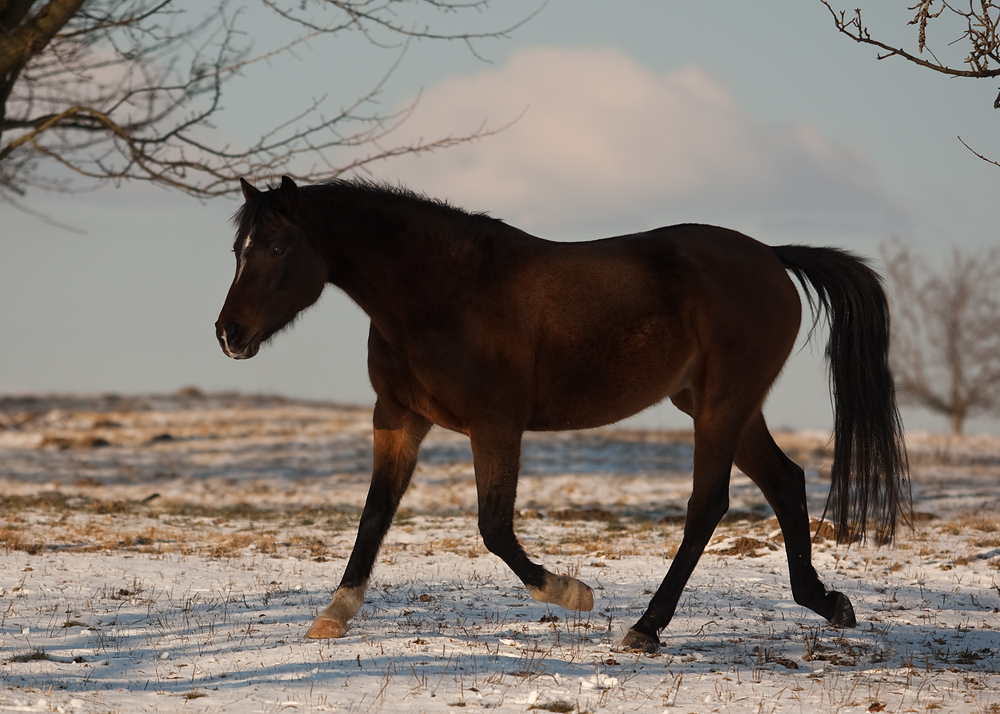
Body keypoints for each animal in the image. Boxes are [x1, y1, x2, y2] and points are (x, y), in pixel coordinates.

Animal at [215, 177, 912, 652]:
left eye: (276, 247)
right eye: (238, 248)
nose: (228, 333)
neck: (443, 293)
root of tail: (770, 255)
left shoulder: (496, 426)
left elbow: (494, 528)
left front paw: (573, 593)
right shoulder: (399, 419)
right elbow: (373, 517)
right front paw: (333, 615)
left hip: (722, 407)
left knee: (707, 505)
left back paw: (646, 627)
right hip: (723, 408)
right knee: (785, 482)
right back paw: (828, 603)